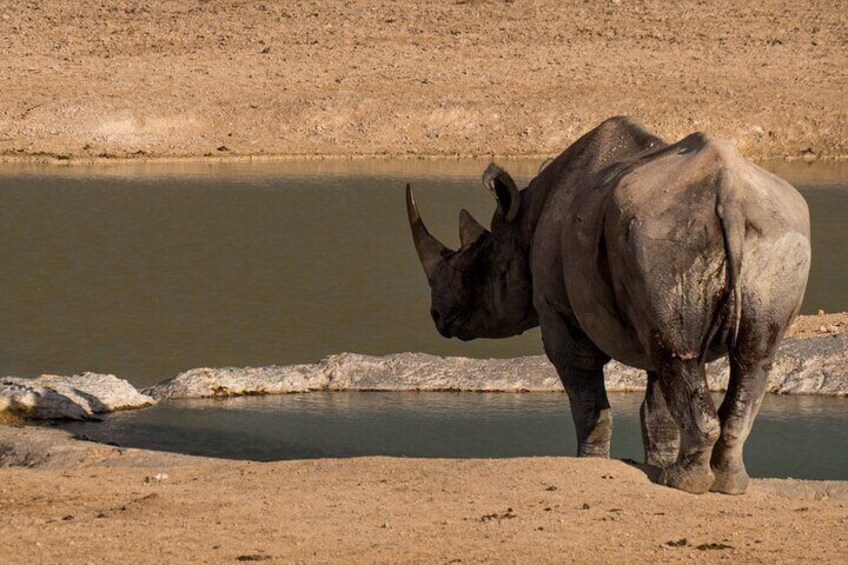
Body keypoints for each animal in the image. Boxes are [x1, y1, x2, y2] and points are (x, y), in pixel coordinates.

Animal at [408, 117, 812, 492]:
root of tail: (728, 189)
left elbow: (589, 402)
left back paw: (684, 483)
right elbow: (658, 408)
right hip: (776, 228)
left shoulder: (559, 313)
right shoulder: (644, 309)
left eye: (474, 268)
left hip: (666, 237)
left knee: (680, 356)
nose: (438, 316)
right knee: (749, 358)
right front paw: (656, 465)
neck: (524, 223)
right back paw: (727, 484)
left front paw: (589, 463)